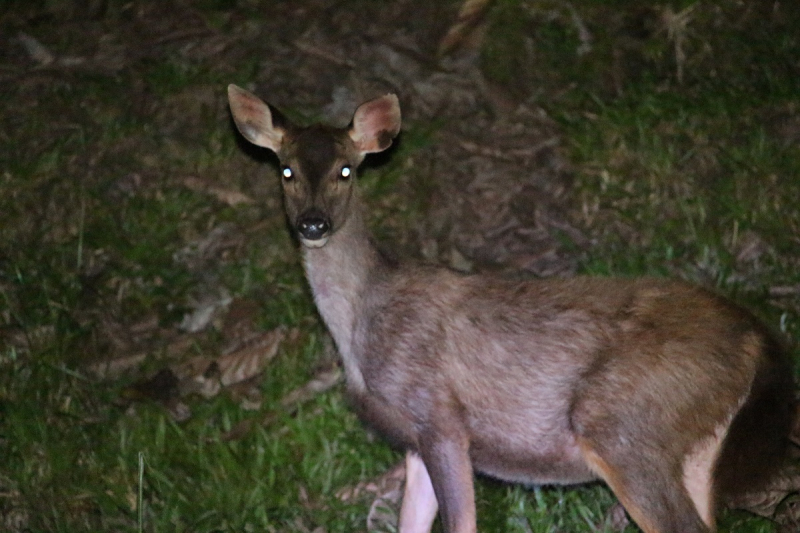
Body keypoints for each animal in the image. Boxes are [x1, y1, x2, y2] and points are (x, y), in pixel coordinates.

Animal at [228, 84, 796, 532]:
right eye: (286, 171)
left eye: (346, 170)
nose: (313, 224)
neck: (363, 324)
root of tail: (758, 340)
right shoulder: (415, 439)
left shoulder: (440, 412)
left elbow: (461, 522)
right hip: (697, 443)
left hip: (628, 424)